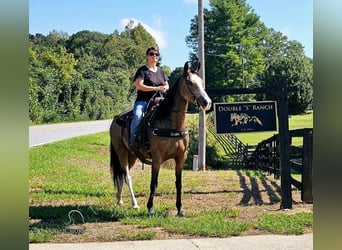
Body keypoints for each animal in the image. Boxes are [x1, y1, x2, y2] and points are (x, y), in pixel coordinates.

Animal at [109, 61, 211, 216]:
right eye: (189, 82)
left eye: (201, 81)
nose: (207, 102)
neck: (171, 124)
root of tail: (116, 119)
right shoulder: (157, 158)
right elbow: (154, 182)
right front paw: (150, 208)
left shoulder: (181, 157)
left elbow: (178, 183)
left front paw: (179, 209)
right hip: (121, 152)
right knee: (127, 176)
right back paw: (134, 203)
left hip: (131, 155)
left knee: (122, 175)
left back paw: (120, 200)